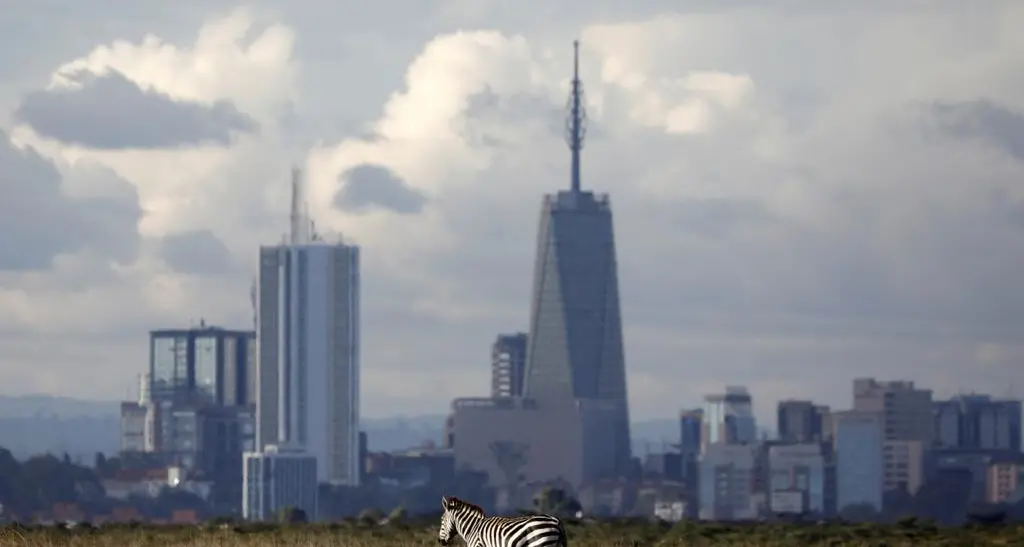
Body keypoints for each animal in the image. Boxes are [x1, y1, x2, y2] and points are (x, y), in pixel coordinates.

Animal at [440, 497, 569, 547]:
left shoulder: (477, 545)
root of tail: (556, 520)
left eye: (441, 520)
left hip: (541, 542)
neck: (472, 527)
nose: (439, 541)